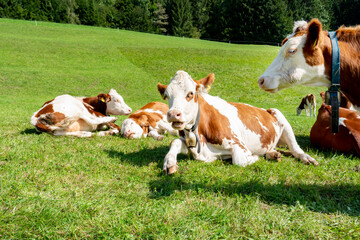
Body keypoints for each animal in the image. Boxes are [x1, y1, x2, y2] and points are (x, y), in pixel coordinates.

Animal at [158, 70, 318, 173]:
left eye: (190, 93)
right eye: (166, 95)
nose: (173, 114)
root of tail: (266, 109)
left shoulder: (239, 145)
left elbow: (238, 160)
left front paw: (255, 157)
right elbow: (174, 142)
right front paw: (169, 163)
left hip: (282, 118)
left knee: (296, 149)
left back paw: (307, 158)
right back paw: (273, 154)